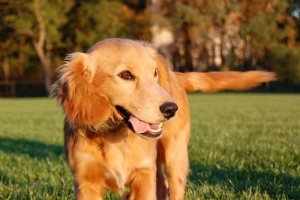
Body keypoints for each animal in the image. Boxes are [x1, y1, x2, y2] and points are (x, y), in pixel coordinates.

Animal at [51, 38, 276, 199]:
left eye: (154, 73)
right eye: (125, 75)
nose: (171, 109)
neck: (114, 136)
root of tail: (176, 73)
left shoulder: (144, 176)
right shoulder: (86, 182)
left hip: (175, 156)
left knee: (173, 186)